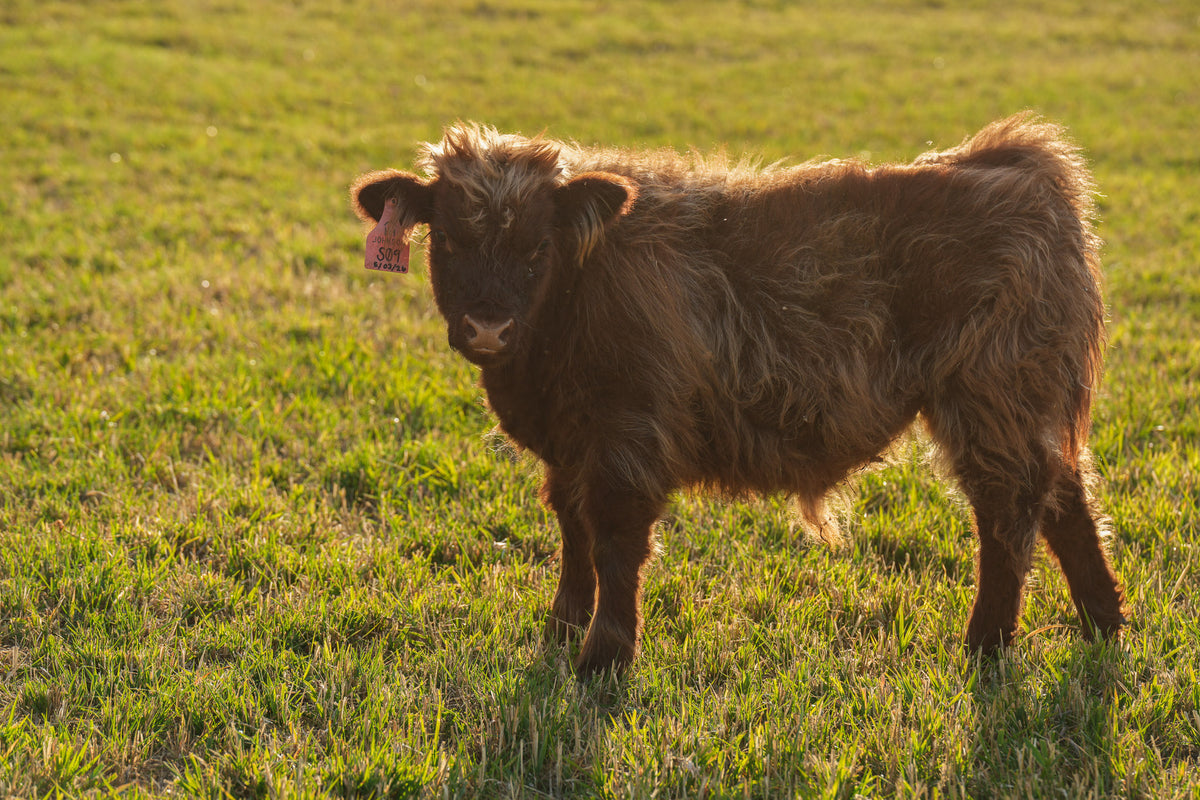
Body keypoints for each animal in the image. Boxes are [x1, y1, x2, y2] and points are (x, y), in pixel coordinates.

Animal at [351, 113, 1125, 676]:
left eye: (537, 248)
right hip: (1028, 404)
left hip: (993, 396)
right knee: (1064, 496)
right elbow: (572, 530)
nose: (488, 327)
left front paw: (603, 657)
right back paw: (1105, 622)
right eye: (447, 241)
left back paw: (987, 646)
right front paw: (562, 626)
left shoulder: (629, 437)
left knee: (1009, 514)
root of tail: (1013, 161)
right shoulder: (571, 447)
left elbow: (616, 544)